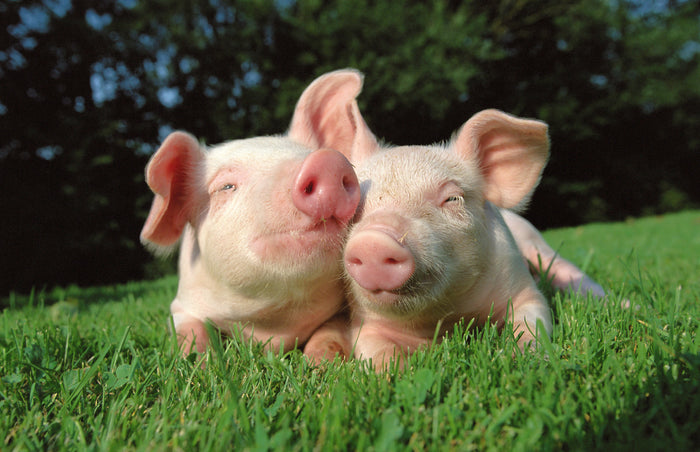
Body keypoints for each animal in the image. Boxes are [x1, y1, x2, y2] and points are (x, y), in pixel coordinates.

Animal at [140, 70, 367, 357]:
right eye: (226, 186)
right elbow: (190, 331)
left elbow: (329, 332)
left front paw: (320, 362)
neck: (272, 325)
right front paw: (198, 361)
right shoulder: (181, 304)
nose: (327, 161)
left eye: (311, 154)